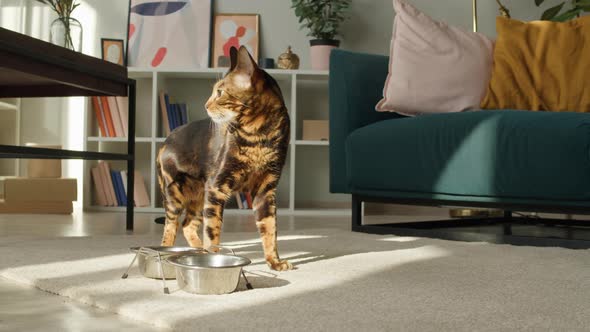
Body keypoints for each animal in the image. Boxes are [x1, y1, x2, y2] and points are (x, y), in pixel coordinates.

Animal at [156, 46, 292, 270]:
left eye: (219, 92)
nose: (205, 104)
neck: (259, 135)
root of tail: (166, 140)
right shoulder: (217, 186)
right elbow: (213, 233)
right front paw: (211, 262)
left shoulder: (266, 189)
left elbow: (270, 230)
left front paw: (275, 262)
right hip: (175, 192)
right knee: (170, 227)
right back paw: (168, 252)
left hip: (198, 196)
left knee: (187, 225)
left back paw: (196, 250)